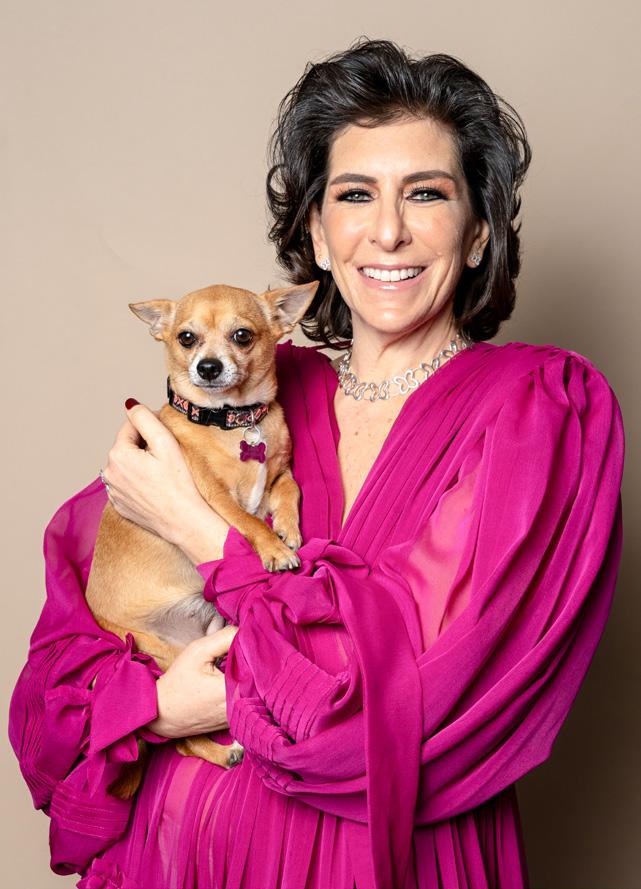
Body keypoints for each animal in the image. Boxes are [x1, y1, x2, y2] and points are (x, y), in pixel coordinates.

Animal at [85, 280, 319, 798]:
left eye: (242, 335)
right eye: (186, 338)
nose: (208, 367)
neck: (236, 422)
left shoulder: (279, 473)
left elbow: (289, 487)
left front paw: (289, 529)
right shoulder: (212, 495)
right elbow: (247, 524)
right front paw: (274, 550)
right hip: (164, 657)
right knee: (179, 736)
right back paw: (220, 751)